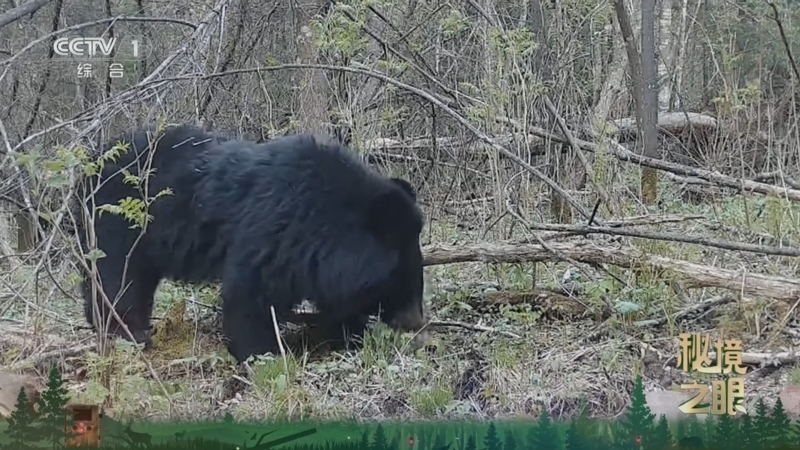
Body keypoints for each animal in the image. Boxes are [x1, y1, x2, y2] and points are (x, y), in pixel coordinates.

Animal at [76, 123, 427, 362]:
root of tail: (89, 167)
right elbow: (251, 295)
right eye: (401, 280)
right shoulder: (275, 229)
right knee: (117, 278)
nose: (416, 322)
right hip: (116, 221)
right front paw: (262, 355)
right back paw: (126, 332)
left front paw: (346, 336)